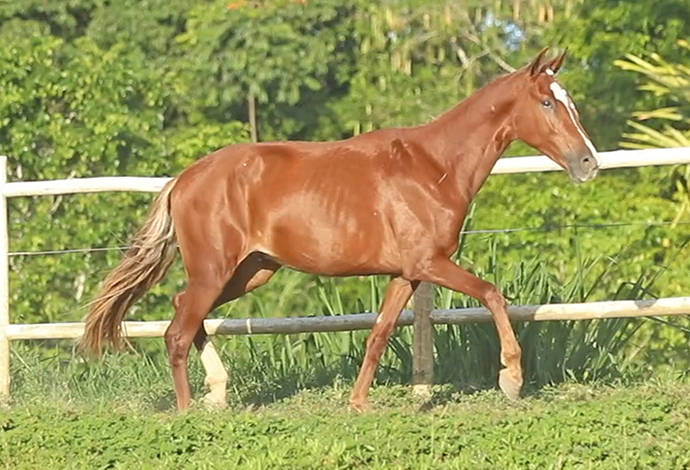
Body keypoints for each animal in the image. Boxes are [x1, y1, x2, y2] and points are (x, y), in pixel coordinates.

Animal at [80, 49, 596, 412]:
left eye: (570, 103)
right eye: (547, 102)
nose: (589, 163)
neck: (434, 168)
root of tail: (183, 180)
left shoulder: (407, 274)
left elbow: (379, 334)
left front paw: (359, 403)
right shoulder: (431, 263)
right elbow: (492, 294)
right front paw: (511, 379)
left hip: (251, 271)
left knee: (183, 308)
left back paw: (219, 392)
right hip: (215, 270)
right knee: (177, 331)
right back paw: (190, 410)